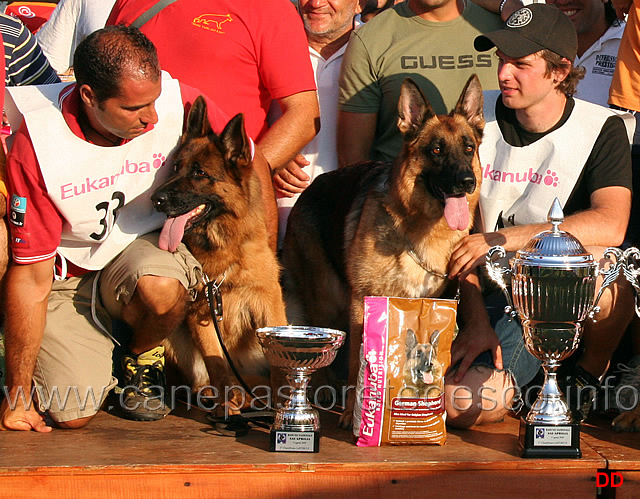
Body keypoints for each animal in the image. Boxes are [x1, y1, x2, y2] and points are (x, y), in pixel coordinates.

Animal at [151, 95, 286, 416]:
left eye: (199, 173)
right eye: (176, 167)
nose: (155, 199)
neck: (225, 250)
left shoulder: (268, 301)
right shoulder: (200, 313)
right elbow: (217, 364)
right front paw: (228, 406)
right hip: (175, 339)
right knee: (202, 380)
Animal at [282, 76, 484, 428]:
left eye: (468, 147)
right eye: (436, 150)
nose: (466, 182)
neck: (417, 227)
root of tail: (309, 189)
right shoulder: (361, 303)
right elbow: (356, 361)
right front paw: (354, 413)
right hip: (326, 302)